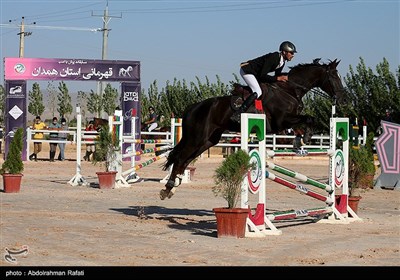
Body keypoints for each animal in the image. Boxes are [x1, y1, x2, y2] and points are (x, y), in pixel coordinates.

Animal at [159, 59, 346, 200]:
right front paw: (306, 138)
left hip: (208, 140)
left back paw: (173, 187)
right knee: (180, 157)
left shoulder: (287, 121)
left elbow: (304, 122)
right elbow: (308, 118)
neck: (289, 90)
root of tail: (193, 107)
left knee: (185, 160)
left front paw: (300, 140)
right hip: (196, 138)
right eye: (334, 77)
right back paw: (168, 188)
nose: (343, 99)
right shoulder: (281, 121)